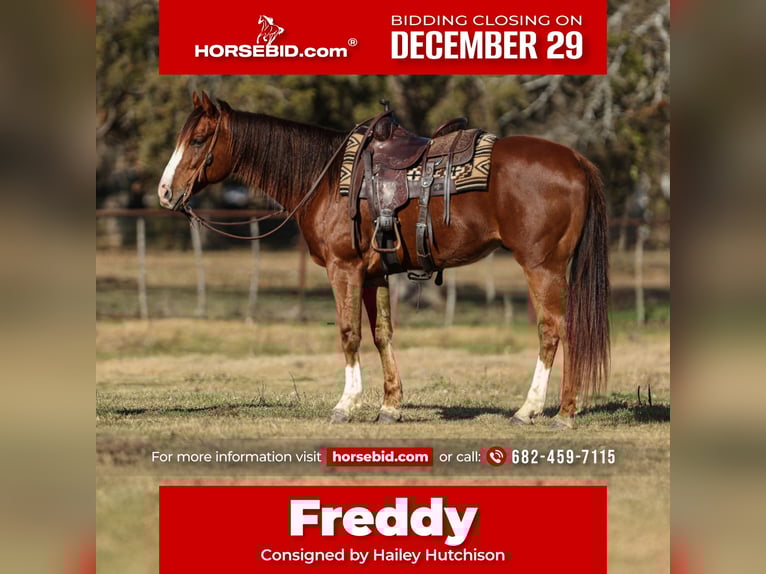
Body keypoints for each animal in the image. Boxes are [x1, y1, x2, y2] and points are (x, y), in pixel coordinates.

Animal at [158, 91, 610, 429]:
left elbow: (348, 332)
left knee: (553, 330)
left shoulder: (345, 269)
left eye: (198, 140)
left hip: (542, 266)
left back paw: (537, 411)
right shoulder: (375, 275)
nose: (164, 192)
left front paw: (346, 404)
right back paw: (562, 411)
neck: (325, 180)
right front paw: (390, 406)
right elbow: (382, 335)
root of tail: (576, 160)